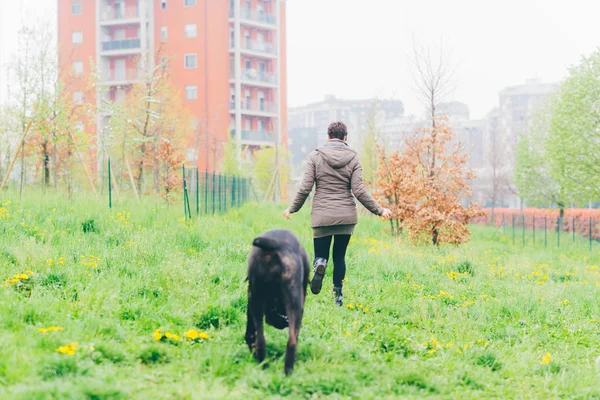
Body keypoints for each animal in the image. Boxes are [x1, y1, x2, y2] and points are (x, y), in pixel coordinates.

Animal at [244, 228, 310, 376]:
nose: (283, 322)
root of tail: (276, 245)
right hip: (294, 304)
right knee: (292, 341)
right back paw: (288, 373)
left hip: (256, 300)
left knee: (260, 340)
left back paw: (264, 365)